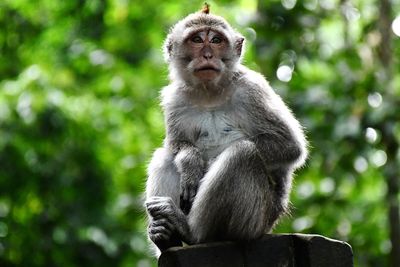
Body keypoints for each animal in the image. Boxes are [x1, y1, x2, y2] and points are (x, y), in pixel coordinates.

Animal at [144, 4, 306, 255]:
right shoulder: (174, 99)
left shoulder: (253, 89)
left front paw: (206, 164)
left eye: (216, 40)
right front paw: (191, 161)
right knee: (165, 155)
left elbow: (289, 146)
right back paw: (164, 236)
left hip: (253, 220)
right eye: (197, 40)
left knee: (242, 153)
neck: (209, 92)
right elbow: (176, 144)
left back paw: (189, 230)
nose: (208, 55)